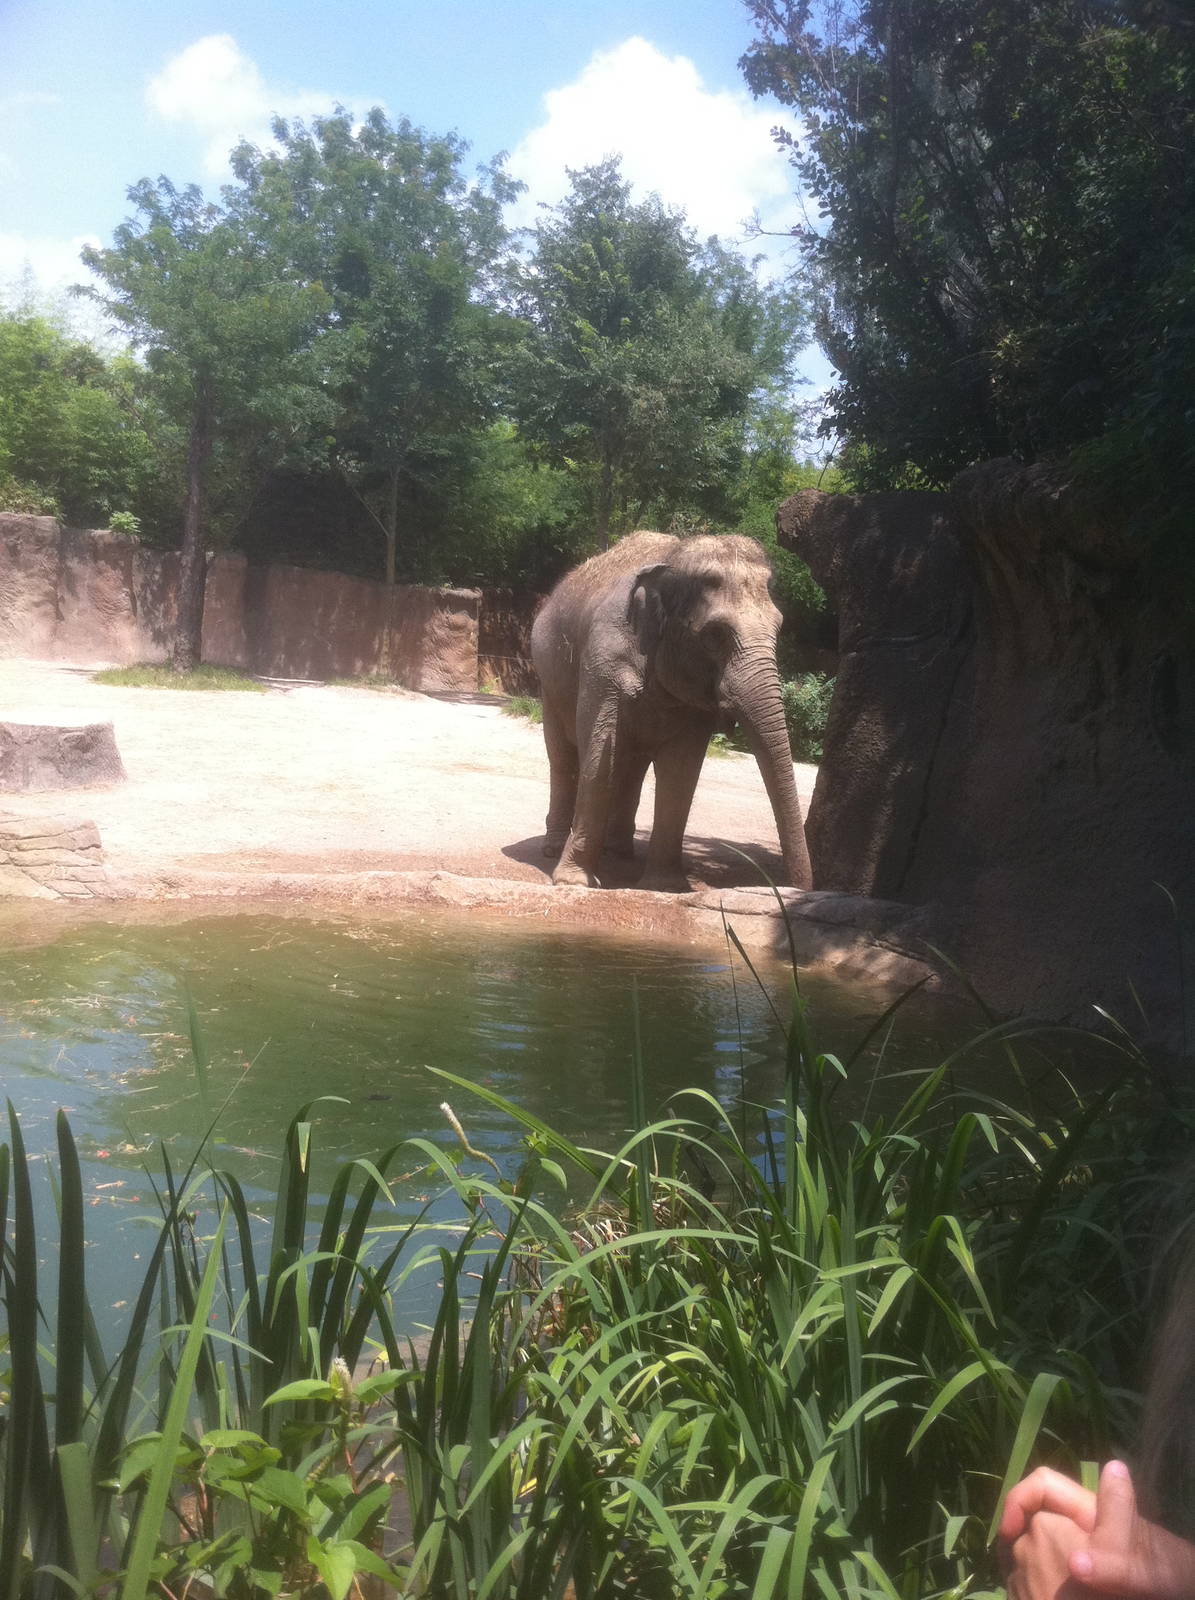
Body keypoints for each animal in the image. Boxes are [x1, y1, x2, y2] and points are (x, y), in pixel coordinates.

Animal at [530, 530, 814, 892]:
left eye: (779, 627)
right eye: (715, 634)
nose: (796, 888)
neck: (674, 559)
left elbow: (681, 768)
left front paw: (664, 887)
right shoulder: (602, 661)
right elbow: (599, 754)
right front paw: (574, 883)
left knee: (630, 766)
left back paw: (619, 852)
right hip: (548, 682)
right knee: (563, 756)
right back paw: (554, 849)